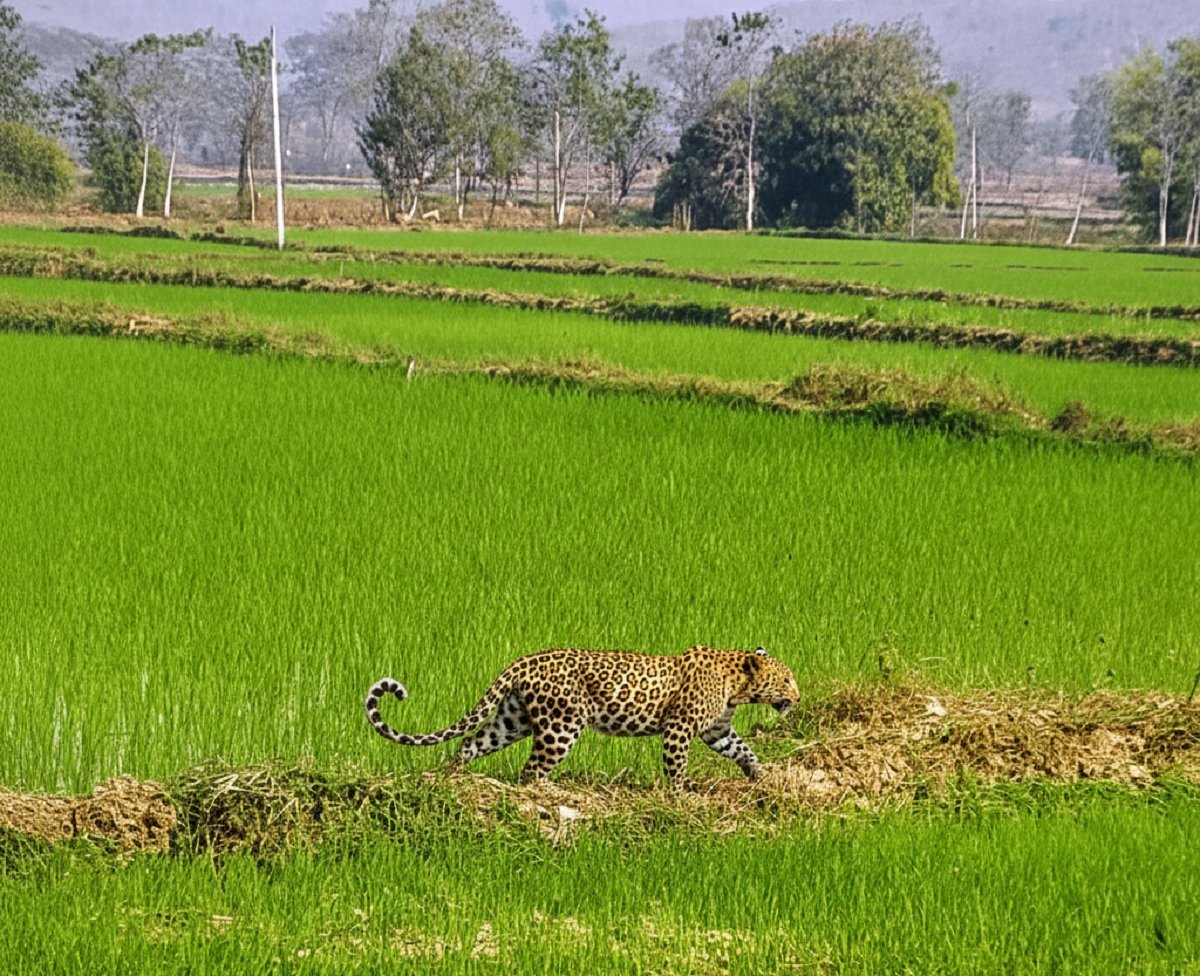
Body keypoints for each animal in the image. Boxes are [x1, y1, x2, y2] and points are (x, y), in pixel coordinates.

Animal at [364, 645, 799, 790]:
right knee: (531, 770)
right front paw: (679, 797)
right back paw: (546, 794)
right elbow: (676, 767)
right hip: (560, 727)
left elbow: (742, 749)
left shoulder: (717, 730)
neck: (736, 685)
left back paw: (451, 777)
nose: (797, 696)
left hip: (512, 720)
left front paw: (759, 776)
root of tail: (522, 660)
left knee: (472, 743)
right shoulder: (679, 729)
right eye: (786, 679)